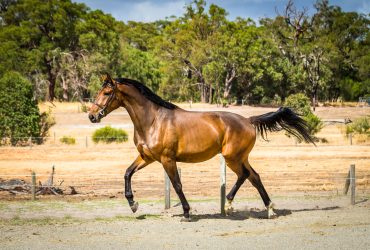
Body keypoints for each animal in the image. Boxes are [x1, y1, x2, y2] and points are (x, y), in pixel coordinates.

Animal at [88, 73, 314, 221]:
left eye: (107, 92)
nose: (91, 115)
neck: (153, 120)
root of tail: (249, 120)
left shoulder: (167, 159)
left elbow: (177, 184)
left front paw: (187, 213)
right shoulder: (147, 157)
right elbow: (127, 173)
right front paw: (133, 204)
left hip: (232, 157)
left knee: (244, 176)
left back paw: (230, 205)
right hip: (240, 157)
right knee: (254, 177)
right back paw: (268, 209)